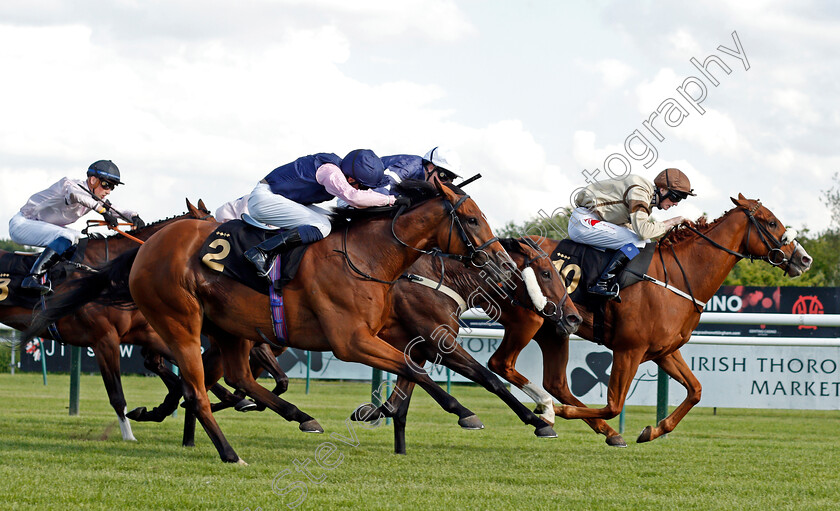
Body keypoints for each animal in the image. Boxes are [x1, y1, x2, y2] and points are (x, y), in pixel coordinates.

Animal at [34, 180, 512, 464]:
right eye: (472, 219)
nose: (503, 264)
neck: (365, 256)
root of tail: (146, 249)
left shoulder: (385, 335)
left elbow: (414, 371)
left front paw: (389, 410)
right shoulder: (351, 340)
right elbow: (416, 370)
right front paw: (463, 412)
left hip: (227, 328)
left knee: (237, 378)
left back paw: (298, 416)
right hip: (181, 323)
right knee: (196, 390)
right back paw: (228, 451)